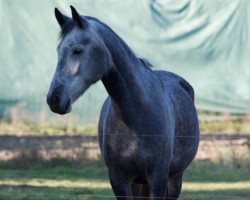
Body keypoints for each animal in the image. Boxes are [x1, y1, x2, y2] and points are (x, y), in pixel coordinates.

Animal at [47, 5, 199, 199]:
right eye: (59, 51)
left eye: (77, 50)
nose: (54, 99)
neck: (139, 114)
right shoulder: (119, 179)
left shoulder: (158, 178)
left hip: (174, 179)